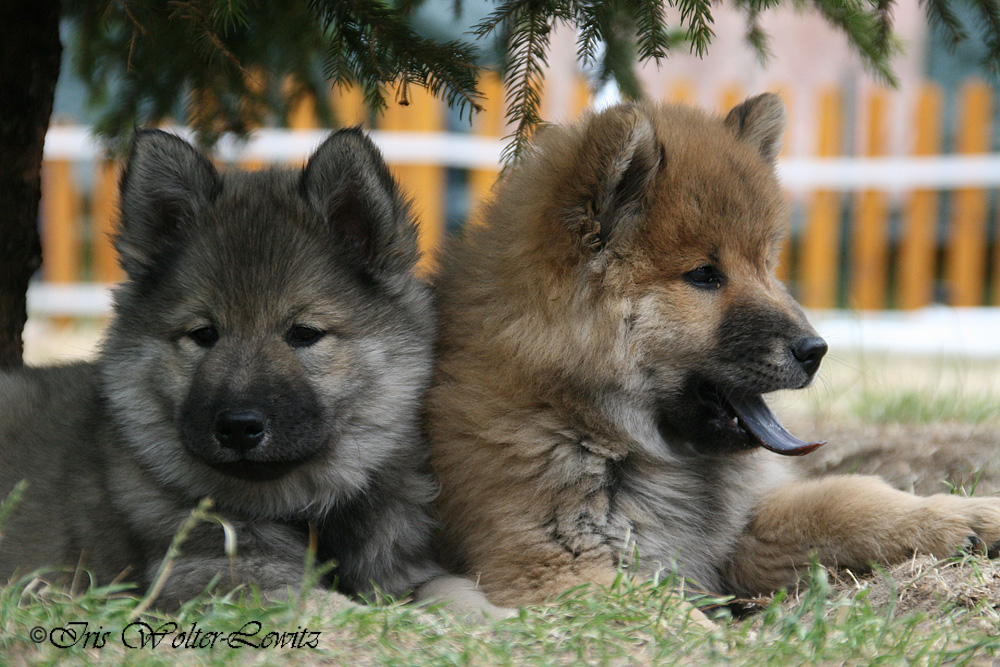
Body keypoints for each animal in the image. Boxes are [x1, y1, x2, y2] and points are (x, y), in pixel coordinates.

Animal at [0, 130, 446, 612]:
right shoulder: (222, 576)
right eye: (204, 334)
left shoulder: (406, 569)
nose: (237, 427)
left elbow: (452, 591)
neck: (306, 511)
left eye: (304, 333)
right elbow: (333, 606)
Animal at [428, 96, 1000, 608]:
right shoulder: (553, 564)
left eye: (766, 265)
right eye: (705, 275)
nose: (815, 349)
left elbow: (847, 500)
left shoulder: (743, 528)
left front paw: (966, 516)